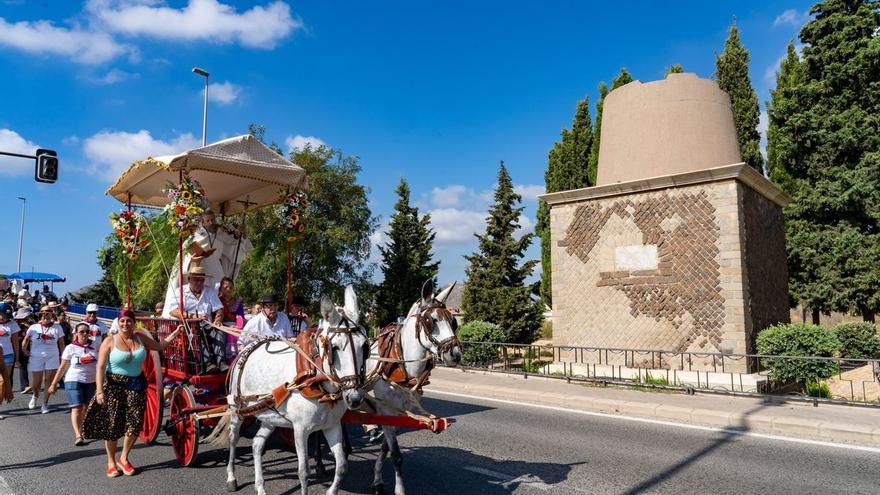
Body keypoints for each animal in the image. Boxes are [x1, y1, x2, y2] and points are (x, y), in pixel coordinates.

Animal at [227, 286, 368, 495]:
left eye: (364, 346)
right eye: (334, 348)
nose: (354, 397)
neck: (316, 382)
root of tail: (247, 348)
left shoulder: (332, 425)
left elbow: (342, 466)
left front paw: (331, 490)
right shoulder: (300, 429)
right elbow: (303, 472)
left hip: (269, 414)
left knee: (257, 445)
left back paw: (260, 486)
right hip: (238, 409)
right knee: (233, 439)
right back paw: (231, 477)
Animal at [368, 282, 464, 495]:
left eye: (453, 321)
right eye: (431, 320)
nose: (455, 354)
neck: (399, 362)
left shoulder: (399, 410)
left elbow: (386, 449)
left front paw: (377, 479)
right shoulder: (385, 408)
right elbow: (396, 454)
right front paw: (399, 489)